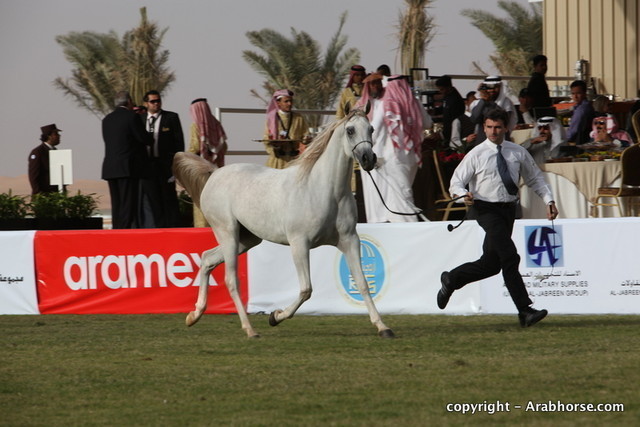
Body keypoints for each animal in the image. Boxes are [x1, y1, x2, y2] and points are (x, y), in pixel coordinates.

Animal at [172, 104, 394, 338]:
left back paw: (194, 315)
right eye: (350, 130)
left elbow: (362, 283)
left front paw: (383, 327)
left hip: (247, 239)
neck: (324, 190)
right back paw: (250, 330)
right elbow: (306, 290)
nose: (368, 159)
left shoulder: (349, 240)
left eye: (371, 129)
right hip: (228, 233)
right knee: (231, 280)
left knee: (207, 259)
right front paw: (275, 316)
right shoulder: (299, 244)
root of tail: (214, 174)